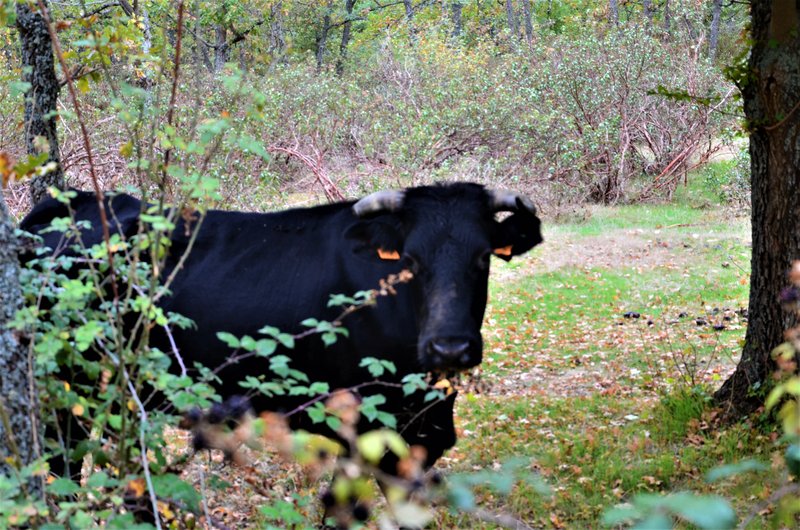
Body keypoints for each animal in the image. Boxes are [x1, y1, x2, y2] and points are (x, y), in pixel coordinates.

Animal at [20, 182, 544, 470]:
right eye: (410, 260)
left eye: (483, 257)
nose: (449, 348)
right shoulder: (366, 432)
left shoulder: (424, 438)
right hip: (64, 389)